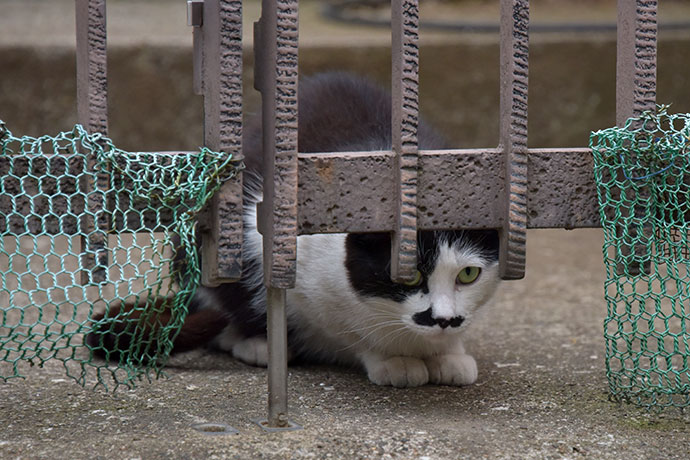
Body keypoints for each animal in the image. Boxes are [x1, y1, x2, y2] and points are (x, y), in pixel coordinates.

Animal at [91, 73, 500, 388]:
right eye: (409, 275)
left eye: (468, 274)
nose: (445, 320)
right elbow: (347, 330)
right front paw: (391, 359)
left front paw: (448, 353)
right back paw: (254, 342)